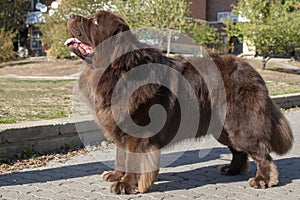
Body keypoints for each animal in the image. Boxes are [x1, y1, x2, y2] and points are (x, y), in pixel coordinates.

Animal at [65, 10, 292, 194]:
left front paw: (125, 184)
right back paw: (232, 169)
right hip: (224, 130)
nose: (70, 15)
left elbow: (133, 159)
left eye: (95, 22)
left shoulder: (137, 132)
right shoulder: (120, 128)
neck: (116, 70)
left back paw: (263, 180)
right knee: (239, 151)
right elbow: (121, 155)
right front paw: (115, 175)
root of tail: (253, 72)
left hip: (239, 126)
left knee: (262, 153)